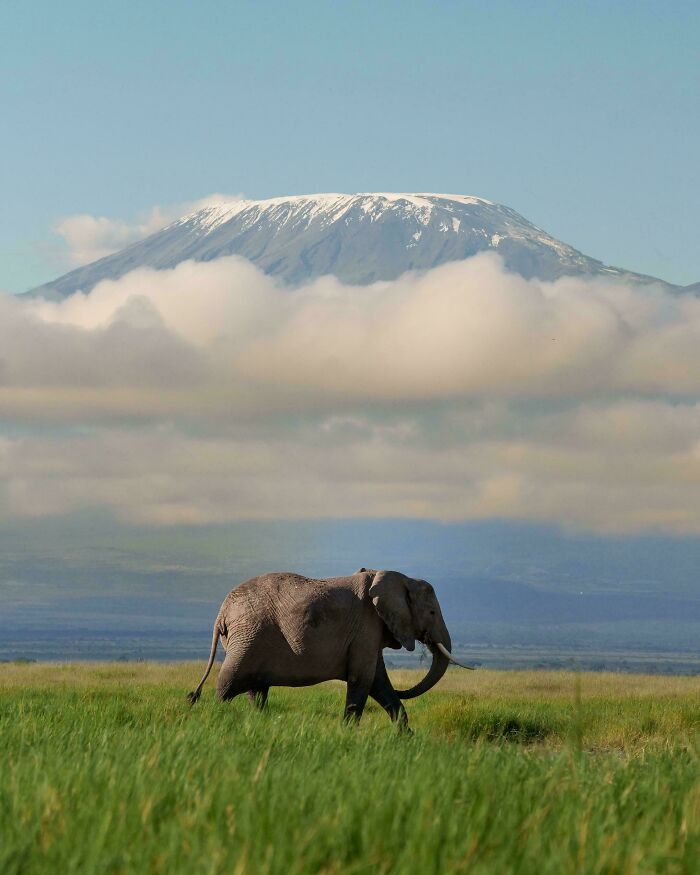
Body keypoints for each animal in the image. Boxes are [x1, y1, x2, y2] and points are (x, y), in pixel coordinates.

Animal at [187, 568, 472, 728]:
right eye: (432, 612)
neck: (400, 578)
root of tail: (222, 612)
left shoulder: (370, 632)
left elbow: (379, 682)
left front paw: (406, 740)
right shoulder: (366, 626)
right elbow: (363, 679)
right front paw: (348, 734)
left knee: (257, 689)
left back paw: (257, 721)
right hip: (248, 636)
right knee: (228, 682)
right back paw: (219, 717)